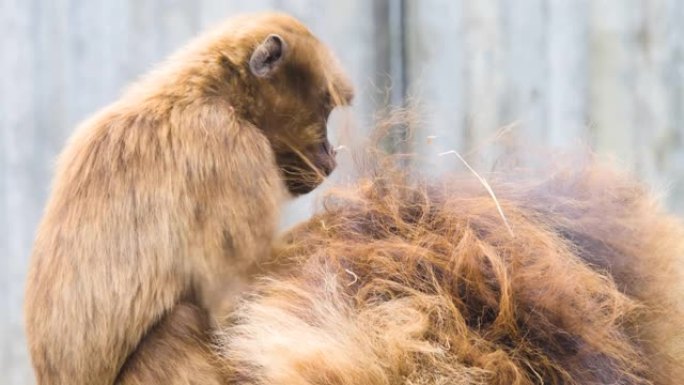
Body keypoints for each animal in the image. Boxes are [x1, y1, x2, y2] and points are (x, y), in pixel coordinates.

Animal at [22, 12, 352, 384]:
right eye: (324, 109)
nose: (330, 157)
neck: (211, 96)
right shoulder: (231, 147)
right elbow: (233, 305)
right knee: (177, 325)